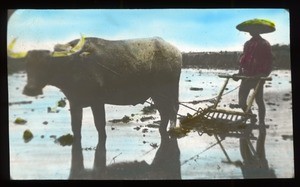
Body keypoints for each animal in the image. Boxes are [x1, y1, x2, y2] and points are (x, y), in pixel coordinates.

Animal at [8, 35, 182, 178]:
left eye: (46, 64)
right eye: (28, 65)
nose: (30, 89)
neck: (72, 66)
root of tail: (176, 53)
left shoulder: (97, 101)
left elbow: (100, 126)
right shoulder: (74, 102)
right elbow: (76, 127)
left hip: (167, 90)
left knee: (173, 110)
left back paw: (172, 130)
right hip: (157, 94)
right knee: (164, 112)